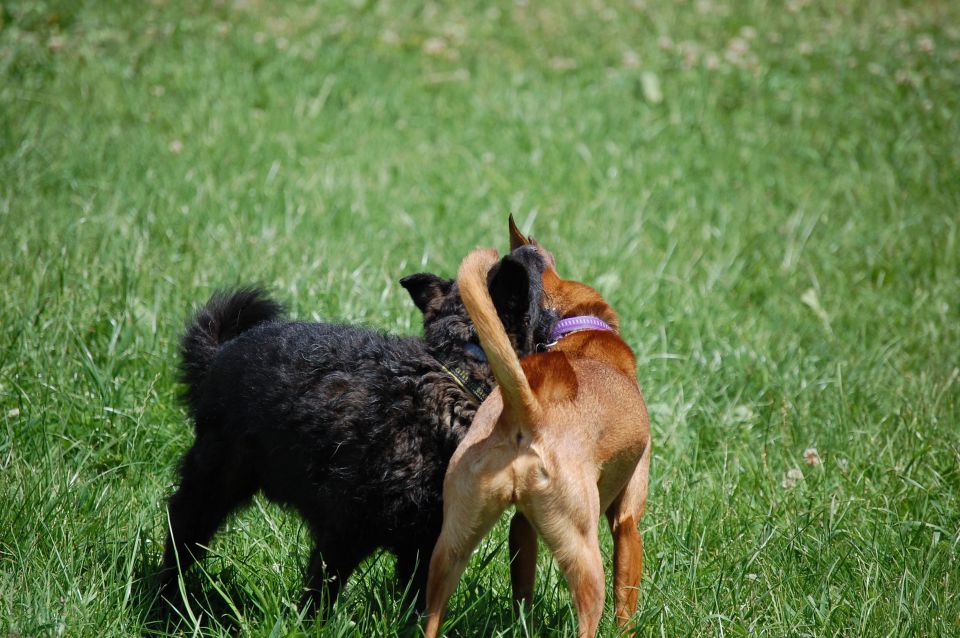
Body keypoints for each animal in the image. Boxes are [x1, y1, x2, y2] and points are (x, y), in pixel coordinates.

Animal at [159, 246, 556, 616]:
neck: (458, 373)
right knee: (180, 532)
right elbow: (321, 593)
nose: (530, 249)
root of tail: (221, 351)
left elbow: (418, 601)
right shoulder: (342, 530)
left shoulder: (426, 541)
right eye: (534, 283)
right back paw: (166, 601)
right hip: (213, 482)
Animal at [426, 221, 652, 638]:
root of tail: (526, 411)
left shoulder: (521, 524)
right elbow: (625, 601)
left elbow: (523, 588)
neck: (578, 332)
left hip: (449, 549)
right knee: (590, 613)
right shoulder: (628, 521)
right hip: (584, 557)